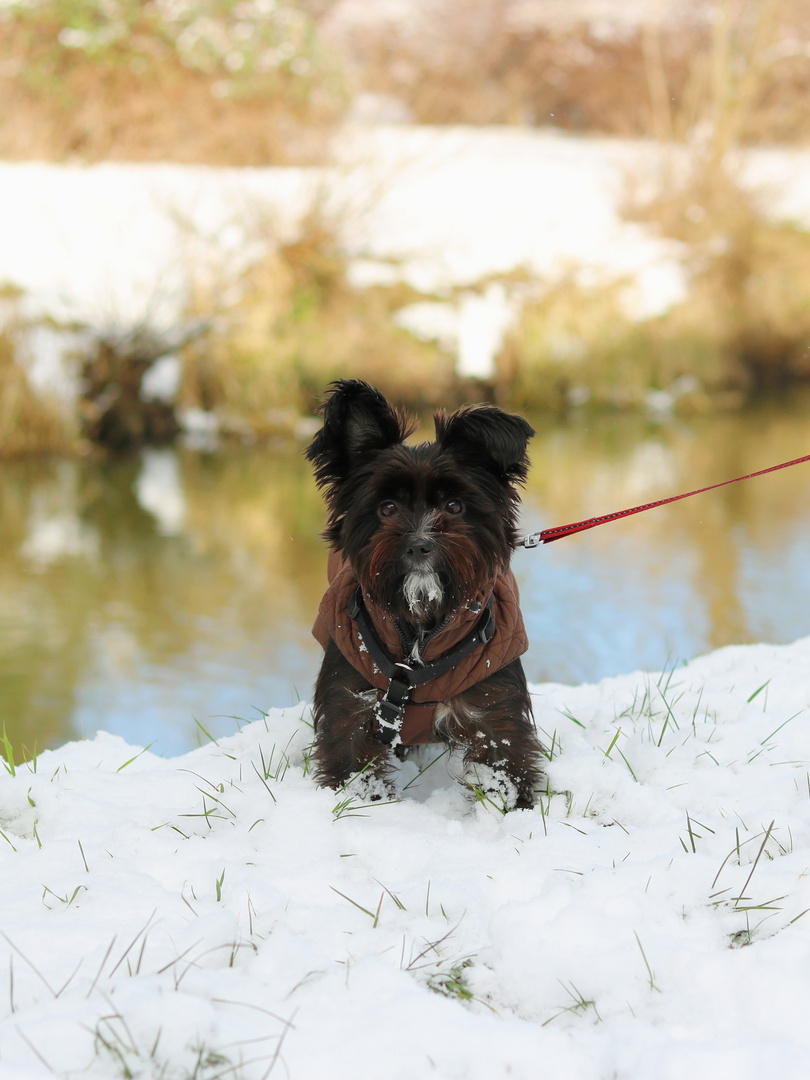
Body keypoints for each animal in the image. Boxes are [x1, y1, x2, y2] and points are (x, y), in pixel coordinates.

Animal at [304, 380, 546, 812]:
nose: (419, 544)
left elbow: (506, 772)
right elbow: (354, 772)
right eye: (386, 508)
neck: (419, 627)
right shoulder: (350, 708)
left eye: (454, 505)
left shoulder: (493, 715)